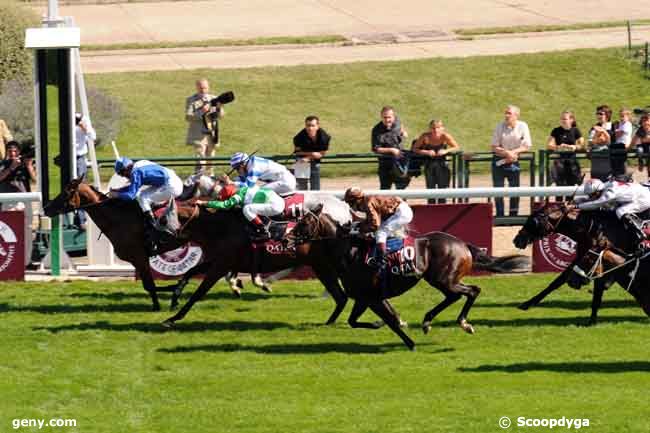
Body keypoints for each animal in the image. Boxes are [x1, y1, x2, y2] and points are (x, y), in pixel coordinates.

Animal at [288, 208, 528, 350]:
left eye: (304, 223)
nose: (287, 238)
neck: (350, 252)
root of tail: (462, 244)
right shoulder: (368, 298)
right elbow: (362, 321)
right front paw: (384, 325)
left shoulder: (370, 297)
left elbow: (388, 322)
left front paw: (407, 341)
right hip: (443, 279)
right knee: (462, 294)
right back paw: (430, 322)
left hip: (443, 279)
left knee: (470, 291)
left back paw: (459, 323)